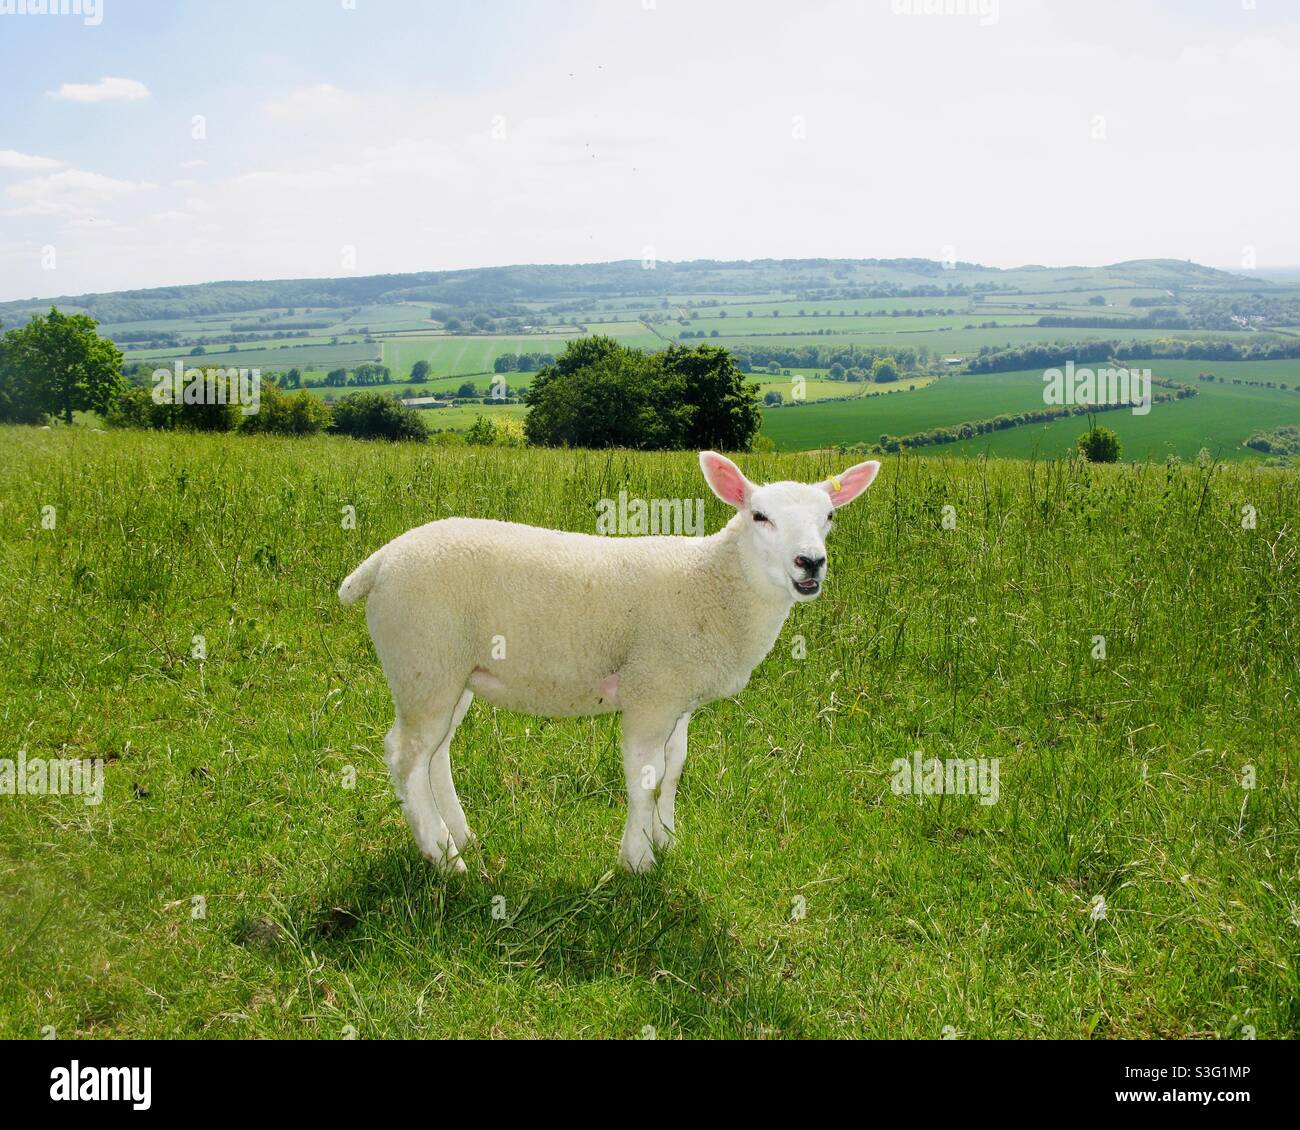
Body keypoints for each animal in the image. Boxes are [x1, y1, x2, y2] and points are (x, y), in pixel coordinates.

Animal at [339, 450, 881, 874]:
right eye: (759, 516)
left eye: (829, 517)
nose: (810, 563)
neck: (713, 582)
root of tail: (379, 562)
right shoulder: (651, 690)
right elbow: (645, 778)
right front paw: (637, 860)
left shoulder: (677, 697)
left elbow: (674, 769)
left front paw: (666, 838)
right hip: (422, 660)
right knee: (407, 757)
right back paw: (444, 857)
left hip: (452, 672)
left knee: (437, 754)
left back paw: (460, 835)